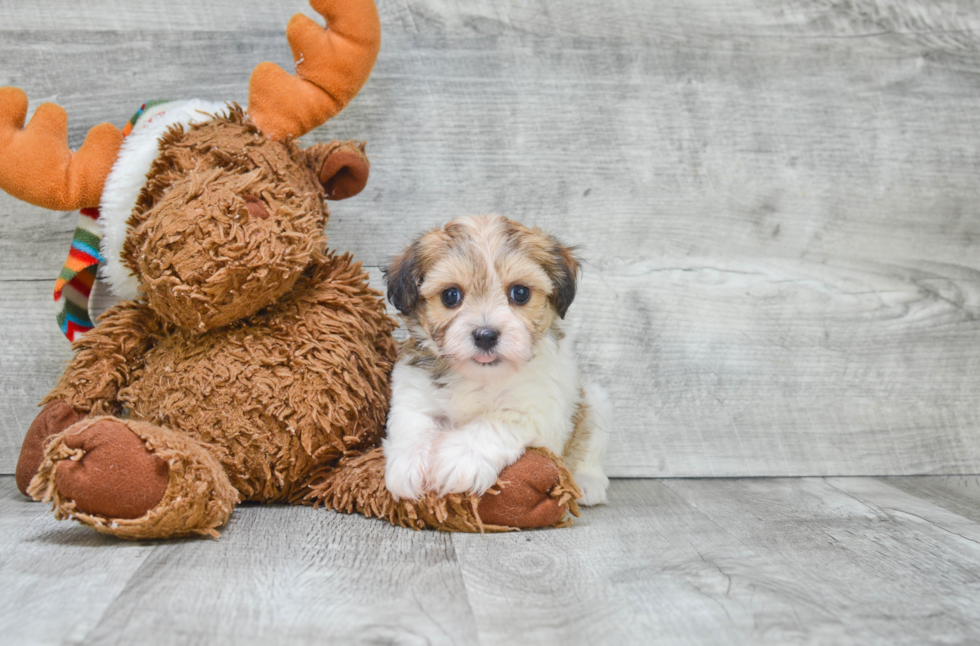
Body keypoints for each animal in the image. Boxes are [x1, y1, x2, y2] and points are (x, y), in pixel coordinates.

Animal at [382, 215, 612, 508]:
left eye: (520, 293)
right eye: (450, 296)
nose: (485, 335)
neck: (479, 376)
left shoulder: (537, 408)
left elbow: (494, 422)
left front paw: (461, 458)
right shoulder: (412, 391)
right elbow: (412, 423)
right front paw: (408, 464)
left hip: (595, 401)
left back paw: (587, 482)